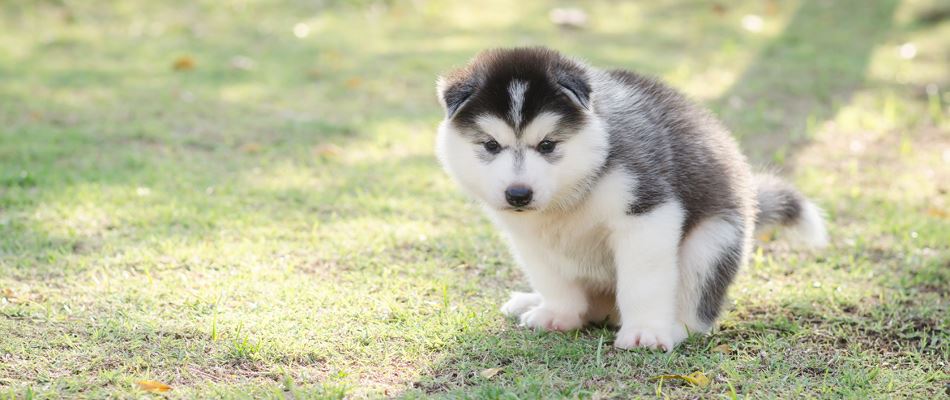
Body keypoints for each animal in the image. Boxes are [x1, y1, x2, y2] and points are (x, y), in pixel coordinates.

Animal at [436, 47, 828, 350]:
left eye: (547, 145)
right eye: (491, 145)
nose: (518, 194)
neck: (571, 192)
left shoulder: (648, 213)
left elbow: (643, 282)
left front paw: (645, 332)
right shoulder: (528, 236)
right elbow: (552, 278)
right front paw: (559, 313)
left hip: (713, 241)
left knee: (696, 311)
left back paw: (674, 328)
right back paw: (532, 301)